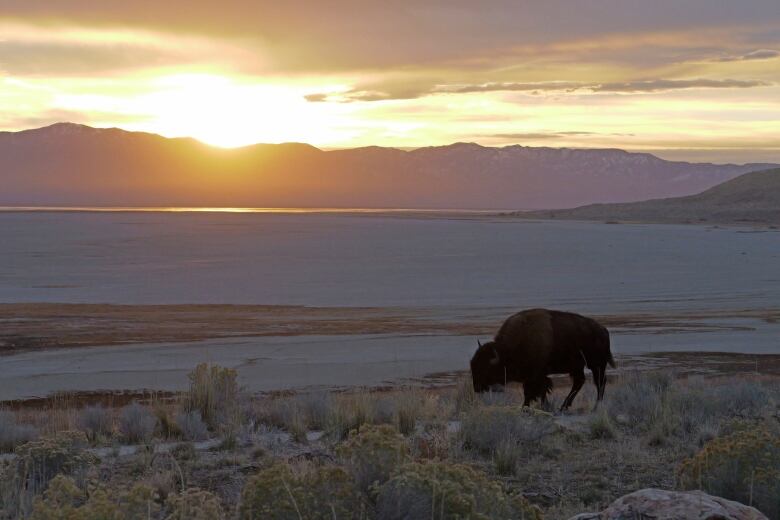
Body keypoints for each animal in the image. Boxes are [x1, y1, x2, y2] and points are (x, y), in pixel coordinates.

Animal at [470, 308, 616, 410]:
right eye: (473, 365)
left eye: (486, 368)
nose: (476, 388)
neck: (507, 350)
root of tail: (603, 330)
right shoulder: (533, 377)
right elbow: (538, 391)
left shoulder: (537, 376)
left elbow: (533, 391)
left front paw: (528, 407)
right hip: (577, 367)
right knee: (579, 382)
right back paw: (564, 406)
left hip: (596, 365)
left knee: (599, 383)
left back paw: (596, 407)